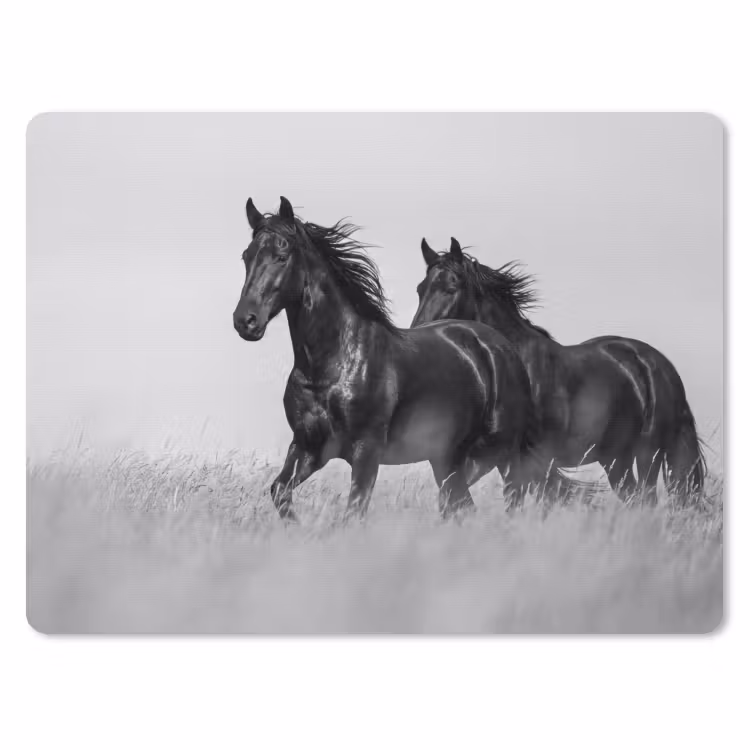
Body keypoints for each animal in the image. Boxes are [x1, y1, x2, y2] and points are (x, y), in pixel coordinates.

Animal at [232, 197, 539, 521]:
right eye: (246, 256)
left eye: (281, 255)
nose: (245, 321)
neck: (331, 366)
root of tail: (500, 346)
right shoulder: (308, 447)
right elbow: (279, 491)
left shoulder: (366, 451)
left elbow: (353, 512)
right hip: (447, 459)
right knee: (459, 505)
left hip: (504, 453)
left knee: (511, 500)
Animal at [411, 237, 706, 506]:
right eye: (420, 289)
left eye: (452, 286)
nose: (420, 334)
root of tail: (661, 366)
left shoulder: (525, 458)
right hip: (615, 458)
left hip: (647, 454)